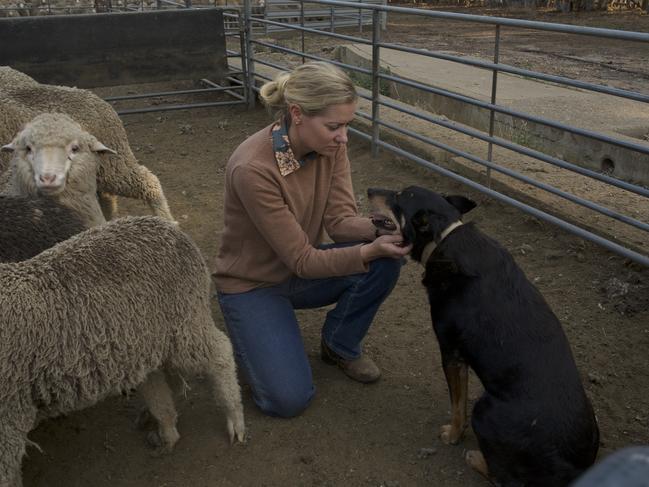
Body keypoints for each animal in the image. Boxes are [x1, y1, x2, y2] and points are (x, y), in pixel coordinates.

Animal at [0, 217, 246, 487]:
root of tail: (171, 229)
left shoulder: (8, 419)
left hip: (184, 323)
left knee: (221, 354)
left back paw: (234, 417)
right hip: (143, 342)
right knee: (157, 383)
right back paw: (165, 431)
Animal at [370, 185, 596, 486]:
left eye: (399, 196)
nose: (369, 190)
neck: (444, 237)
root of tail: (575, 470)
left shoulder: (451, 353)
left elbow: (458, 405)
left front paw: (453, 436)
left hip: (484, 409)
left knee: (505, 478)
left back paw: (475, 456)